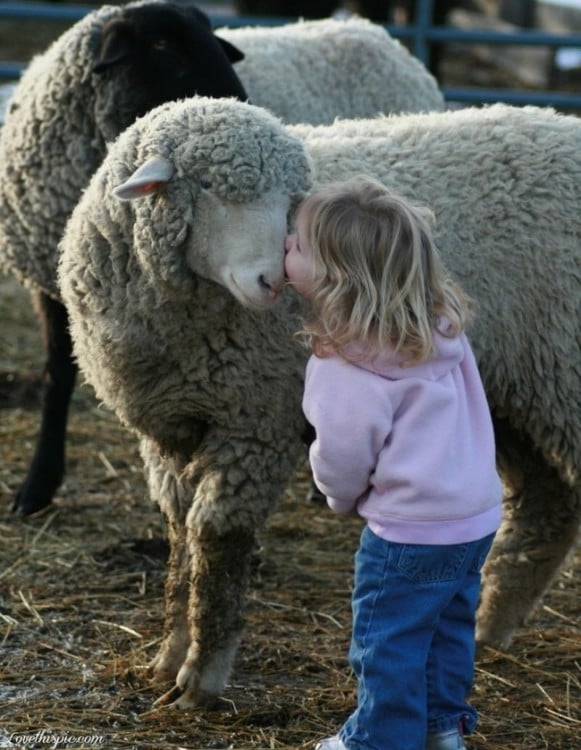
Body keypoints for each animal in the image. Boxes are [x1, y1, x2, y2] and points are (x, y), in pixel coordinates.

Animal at [56, 97, 576, 708]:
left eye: (289, 201)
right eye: (207, 187)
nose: (272, 280)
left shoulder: (255, 422)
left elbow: (217, 541)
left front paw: (201, 679)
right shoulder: (170, 429)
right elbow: (181, 538)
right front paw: (169, 656)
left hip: (564, 376)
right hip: (516, 392)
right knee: (547, 506)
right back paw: (488, 629)